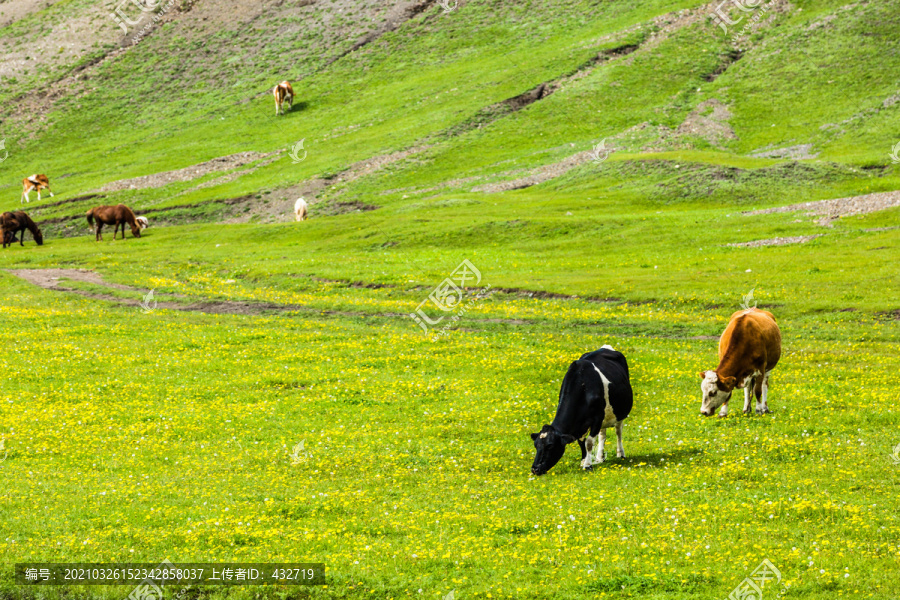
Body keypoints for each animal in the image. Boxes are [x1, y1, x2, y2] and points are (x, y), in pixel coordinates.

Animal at [528, 344, 632, 476]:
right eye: (536, 445)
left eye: (550, 446)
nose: (535, 469)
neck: (582, 386)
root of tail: (605, 347)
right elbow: (581, 442)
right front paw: (583, 461)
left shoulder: (597, 419)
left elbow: (589, 442)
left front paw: (587, 465)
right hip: (605, 415)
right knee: (602, 435)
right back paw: (600, 457)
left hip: (619, 413)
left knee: (618, 431)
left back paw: (621, 454)